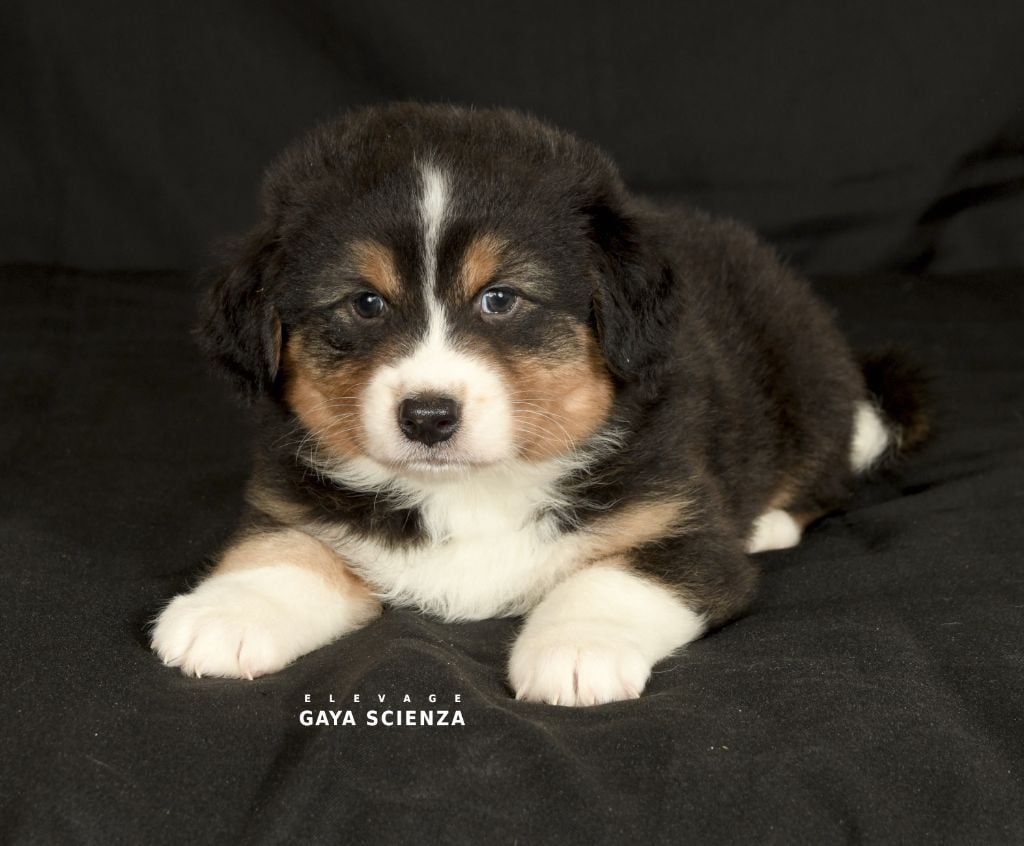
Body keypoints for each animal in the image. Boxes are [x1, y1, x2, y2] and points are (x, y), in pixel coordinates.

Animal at [151, 103, 927, 705]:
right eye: (365, 304)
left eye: (501, 299)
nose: (428, 417)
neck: (470, 493)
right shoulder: (298, 503)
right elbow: (281, 550)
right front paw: (224, 614)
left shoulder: (681, 527)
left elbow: (610, 579)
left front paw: (576, 653)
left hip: (806, 382)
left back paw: (768, 524)